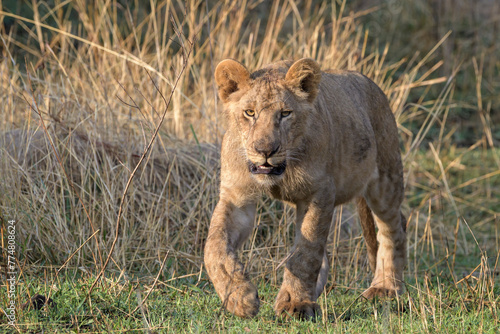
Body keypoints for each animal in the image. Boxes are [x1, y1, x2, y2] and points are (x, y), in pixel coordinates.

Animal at [203, 57, 406, 318]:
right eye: (250, 112)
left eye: (285, 113)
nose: (265, 150)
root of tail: (372, 84)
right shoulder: (237, 196)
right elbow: (214, 246)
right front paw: (238, 297)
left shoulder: (318, 193)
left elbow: (305, 253)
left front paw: (295, 303)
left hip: (385, 181)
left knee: (394, 228)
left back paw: (386, 287)